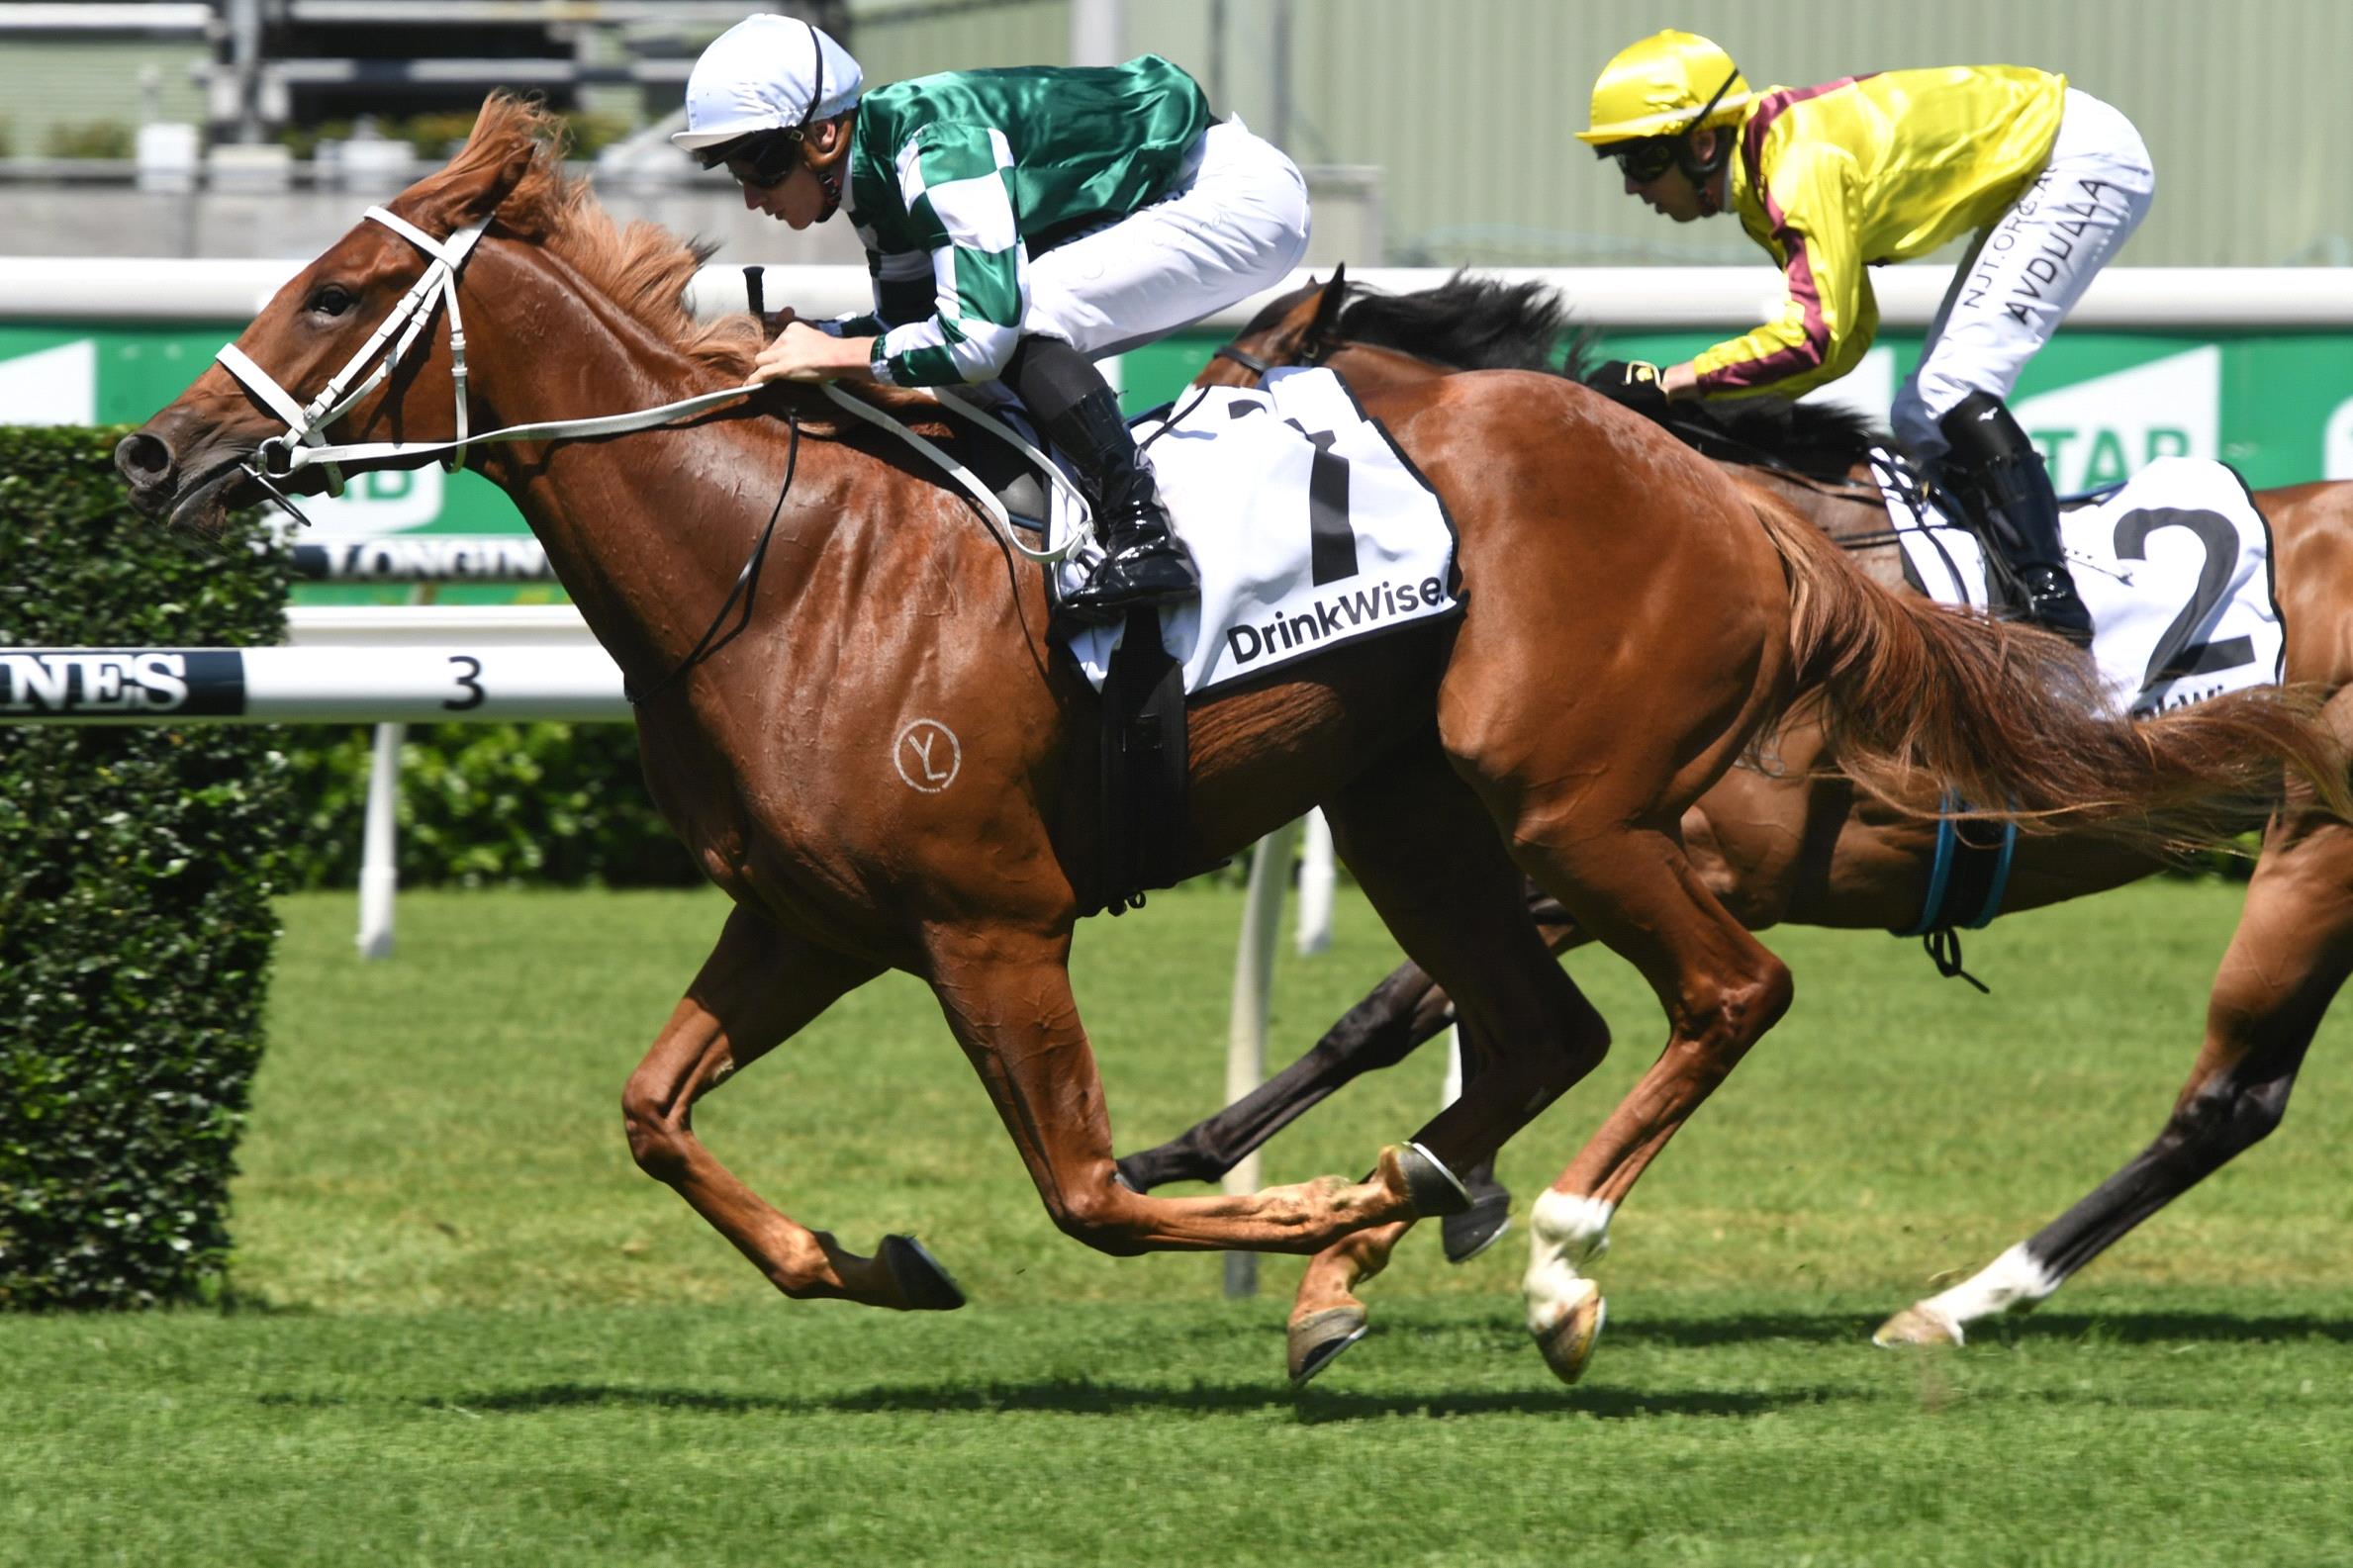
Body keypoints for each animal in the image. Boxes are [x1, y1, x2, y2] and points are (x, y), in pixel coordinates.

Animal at [119, 104, 2343, 1382]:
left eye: (335, 289)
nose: (151, 455)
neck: (789, 558)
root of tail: (1711, 496)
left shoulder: (990, 920)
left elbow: (1092, 1186)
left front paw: (1312, 1227)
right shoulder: (811, 916)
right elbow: (656, 1115)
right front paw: (874, 1260)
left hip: (1588, 802)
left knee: (1736, 998)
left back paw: (1577, 1266)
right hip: (1429, 800)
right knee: (1545, 1029)